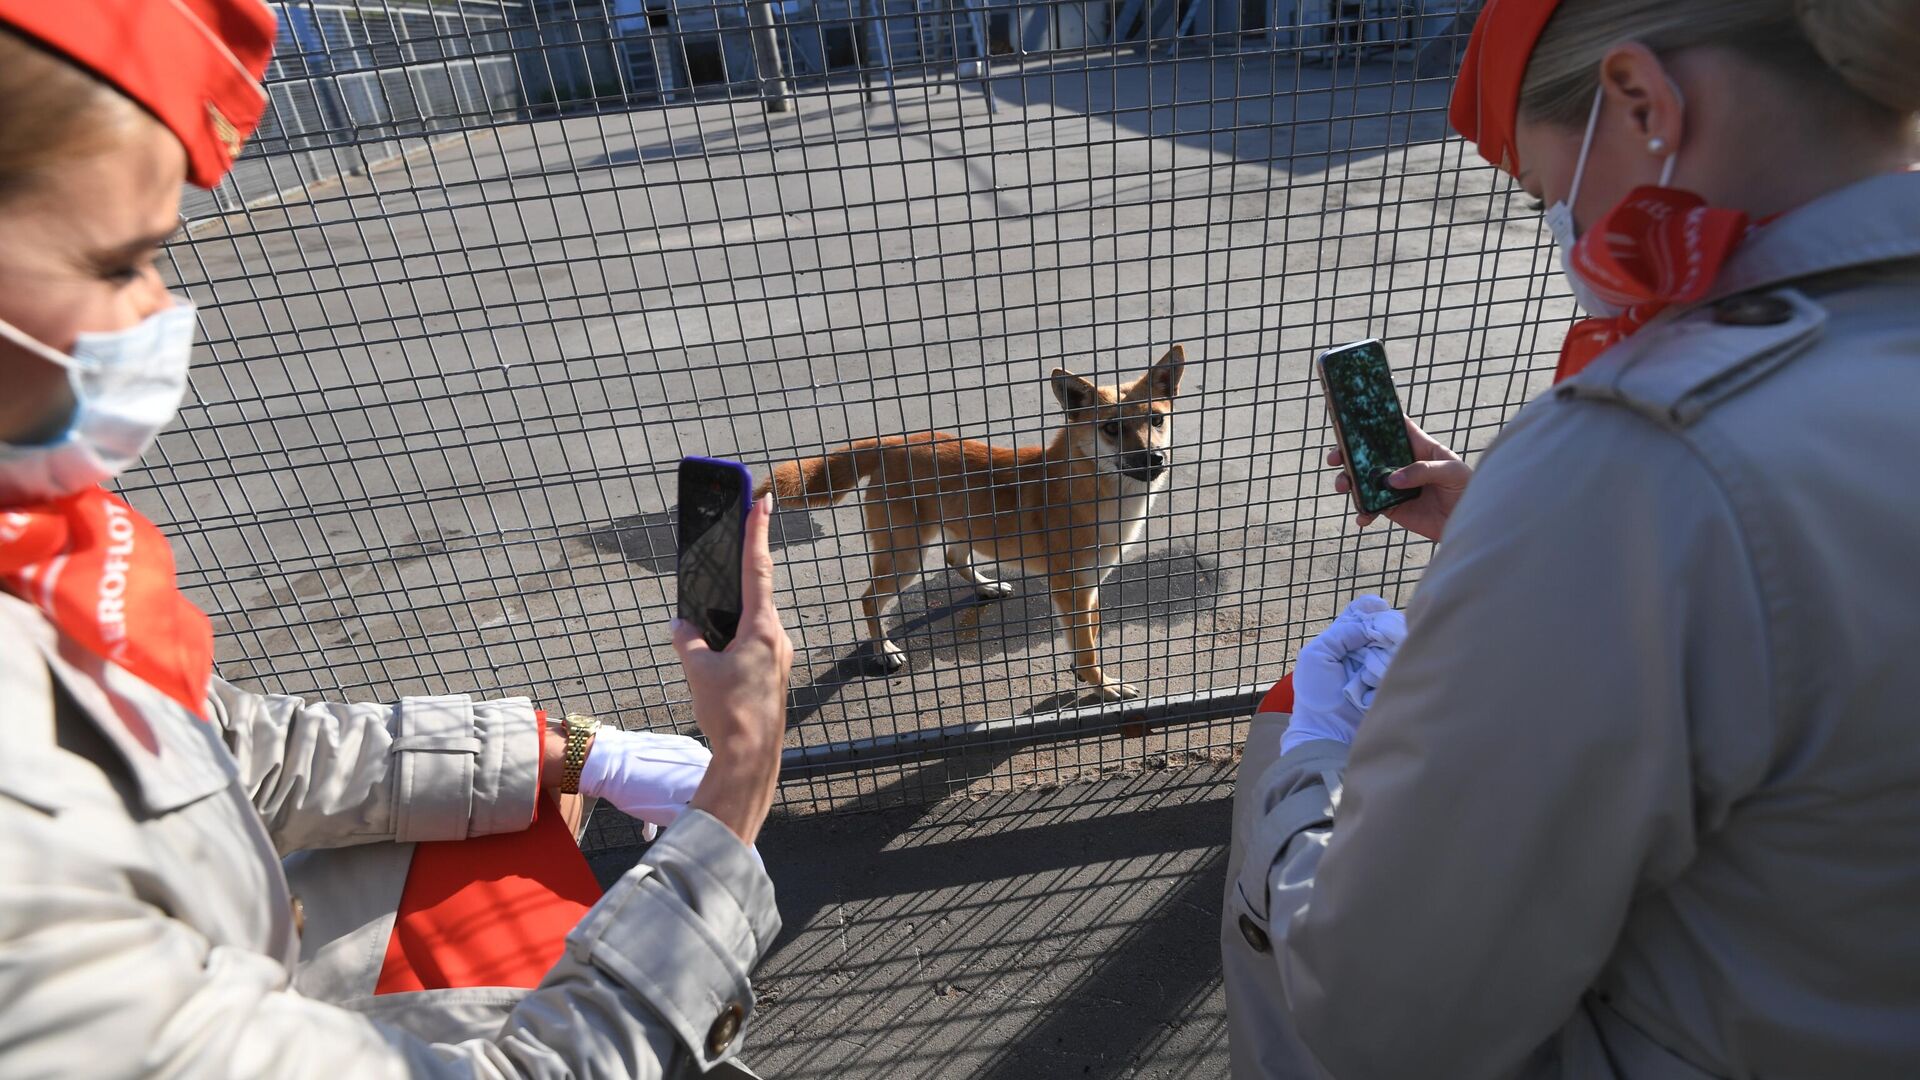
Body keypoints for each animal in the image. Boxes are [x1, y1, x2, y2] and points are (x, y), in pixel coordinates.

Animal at [752, 343, 1182, 699]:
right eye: (1110, 428)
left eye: (1157, 421)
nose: (1155, 459)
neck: (1094, 489)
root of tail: (893, 442)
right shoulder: (1070, 588)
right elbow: (1087, 647)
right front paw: (1102, 685)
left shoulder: (1090, 585)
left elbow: (1089, 633)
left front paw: (1083, 671)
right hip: (906, 555)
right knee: (870, 599)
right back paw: (884, 649)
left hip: (962, 529)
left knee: (953, 559)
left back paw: (985, 585)